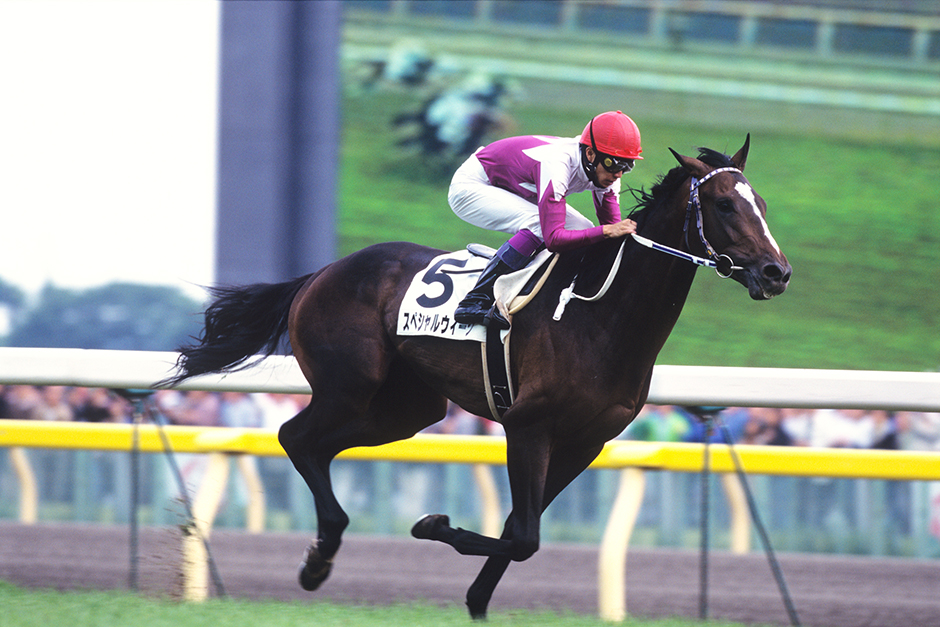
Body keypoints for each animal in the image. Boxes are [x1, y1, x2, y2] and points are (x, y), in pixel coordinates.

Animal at [160, 135, 790, 619]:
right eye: (724, 205)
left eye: (759, 201)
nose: (776, 272)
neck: (599, 315)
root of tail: (322, 272)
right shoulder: (529, 426)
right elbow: (524, 535)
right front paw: (432, 525)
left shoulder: (584, 441)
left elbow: (519, 529)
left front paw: (476, 601)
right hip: (349, 385)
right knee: (296, 437)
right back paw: (320, 558)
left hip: (407, 410)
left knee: (318, 445)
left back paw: (321, 555)